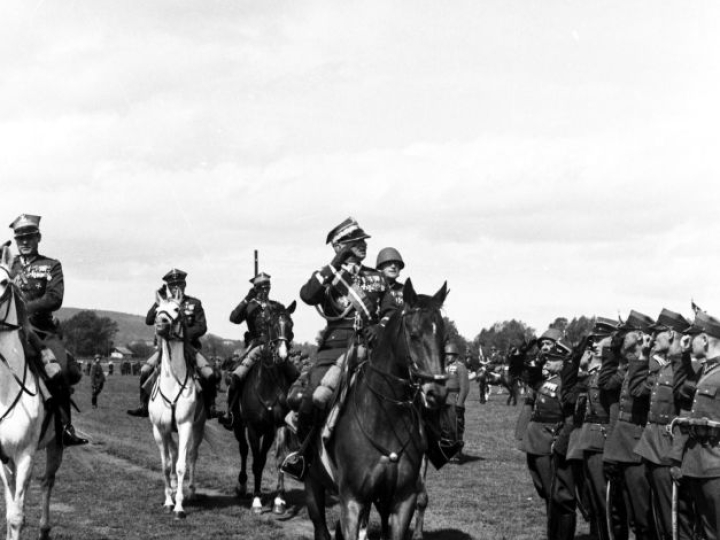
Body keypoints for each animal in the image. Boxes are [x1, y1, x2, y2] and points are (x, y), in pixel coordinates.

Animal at [148, 286, 207, 520]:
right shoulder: (160, 428)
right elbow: (165, 466)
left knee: (192, 456)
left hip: (197, 428)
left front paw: (180, 506)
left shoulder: (185, 425)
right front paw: (168, 500)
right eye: (157, 311)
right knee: (173, 454)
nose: (160, 325)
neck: (172, 380)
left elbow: (182, 464)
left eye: (176, 309)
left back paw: (190, 491)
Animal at [232, 300, 296, 516]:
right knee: (243, 450)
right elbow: (257, 462)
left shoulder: (274, 427)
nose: (282, 355)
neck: (267, 383)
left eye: (291, 325)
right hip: (238, 425)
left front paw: (279, 500)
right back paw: (242, 485)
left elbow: (278, 459)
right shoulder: (253, 428)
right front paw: (257, 500)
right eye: (272, 324)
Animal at [306, 278, 450, 540]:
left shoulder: (402, 500)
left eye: (444, 338)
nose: (437, 392)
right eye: (414, 335)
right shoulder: (351, 500)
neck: (383, 420)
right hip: (312, 483)